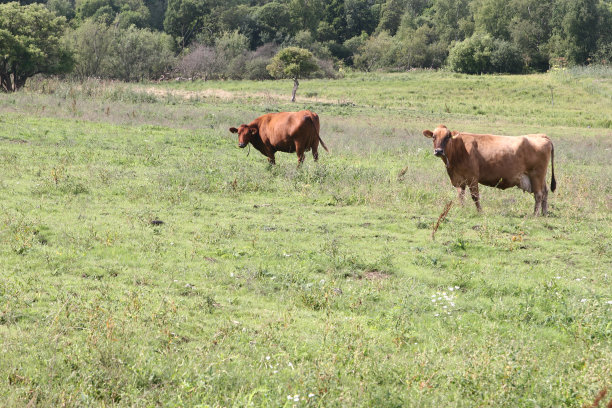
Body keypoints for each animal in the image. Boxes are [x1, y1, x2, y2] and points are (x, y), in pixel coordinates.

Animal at [424, 124, 556, 215]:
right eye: (434, 137)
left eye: (447, 137)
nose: (438, 151)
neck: (459, 149)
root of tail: (540, 135)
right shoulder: (459, 179)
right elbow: (461, 196)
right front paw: (462, 209)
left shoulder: (472, 177)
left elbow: (475, 196)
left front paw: (480, 212)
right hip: (540, 177)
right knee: (545, 192)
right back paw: (544, 213)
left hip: (536, 174)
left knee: (538, 194)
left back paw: (535, 214)